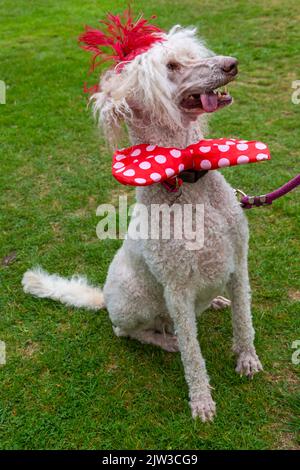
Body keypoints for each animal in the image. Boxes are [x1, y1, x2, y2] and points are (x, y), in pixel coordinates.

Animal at [22, 19, 262, 422]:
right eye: (172, 67)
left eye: (192, 55)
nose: (231, 64)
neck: (186, 176)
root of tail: (104, 298)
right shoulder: (176, 287)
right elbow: (194, 355)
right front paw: (201, 400)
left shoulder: (238, 261)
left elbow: (244, 319)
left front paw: (247, 358)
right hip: (135, 302)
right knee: (128, 332)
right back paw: (165, 342)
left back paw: (213, 302)